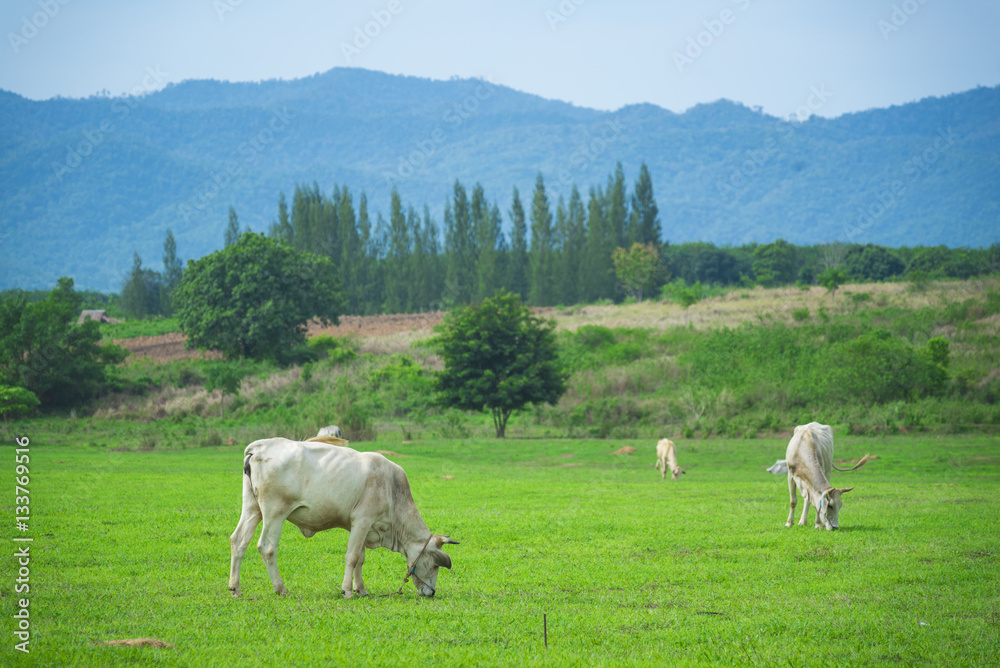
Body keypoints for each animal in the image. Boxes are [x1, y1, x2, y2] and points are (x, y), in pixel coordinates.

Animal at [228, 437, 458, 599]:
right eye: (435, 564)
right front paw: (347, 590)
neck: (392, 490)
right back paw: (281, 588)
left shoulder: (360, 527)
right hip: (274, 513)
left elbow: (360, 558)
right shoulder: (363, 520)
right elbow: (352, 557)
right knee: (267, 547)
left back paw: (235, 588)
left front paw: (361, 589)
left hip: (252, 508)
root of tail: (259, 447)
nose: (431, 592)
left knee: (239, 541)